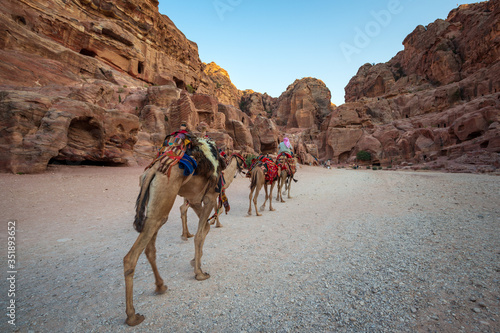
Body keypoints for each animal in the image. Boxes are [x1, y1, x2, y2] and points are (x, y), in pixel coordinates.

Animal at [124, 134, 226, 324]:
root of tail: (152, 171)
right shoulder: (209, 197)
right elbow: (200, 234)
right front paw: (199, 273)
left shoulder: (194, 199)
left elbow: (206, 228)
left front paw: (195, 261)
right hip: (164, 197)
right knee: (131, 257)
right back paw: (132, 316)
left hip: (157, 207)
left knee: (150, 247)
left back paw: (160, 286)